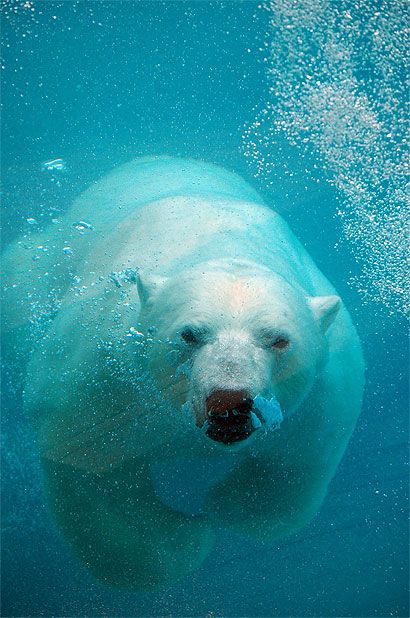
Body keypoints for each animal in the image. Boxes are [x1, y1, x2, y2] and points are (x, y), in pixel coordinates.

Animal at [2, 155, 362, 588]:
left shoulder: (324, 393)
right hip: (48, 261)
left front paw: (224, 505)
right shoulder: (100, 370)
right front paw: (191, 536)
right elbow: (87, 468)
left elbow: (293, 468)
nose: (229, 399)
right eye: (189, 334)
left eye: (278, 339)